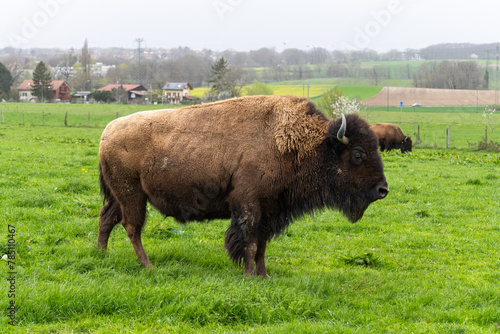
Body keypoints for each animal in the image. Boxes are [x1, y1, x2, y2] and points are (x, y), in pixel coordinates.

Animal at [96, 95, 386, 278]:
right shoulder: (250, 206)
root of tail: (107, 132)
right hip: (132, 195)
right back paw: (148, 265)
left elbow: (262, 244)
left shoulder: (271, 211)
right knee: (132, 227)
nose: (383, 190)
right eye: (358, 154)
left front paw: (264, 275)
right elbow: (249, 241)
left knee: (107, 218)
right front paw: (248, 275)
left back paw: (100, 254)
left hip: (120, 196)